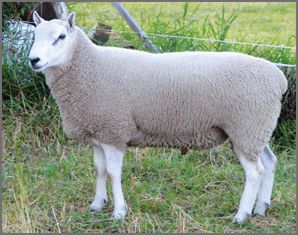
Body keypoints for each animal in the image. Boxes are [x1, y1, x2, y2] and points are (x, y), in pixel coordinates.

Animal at [29, 11, 288, 224]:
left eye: (61, 36)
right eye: (34, 35)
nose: (34, 60)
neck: (88, 66)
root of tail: (279, 79)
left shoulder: (114, 131)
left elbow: (113, 173)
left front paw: (119, 212)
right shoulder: (98, 132)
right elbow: (99, 170)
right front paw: (97, 205)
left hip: (246, 127)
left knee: (254, 172)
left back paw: (241, 215)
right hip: (255, 130)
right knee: (270, 162)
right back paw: (261, 208)